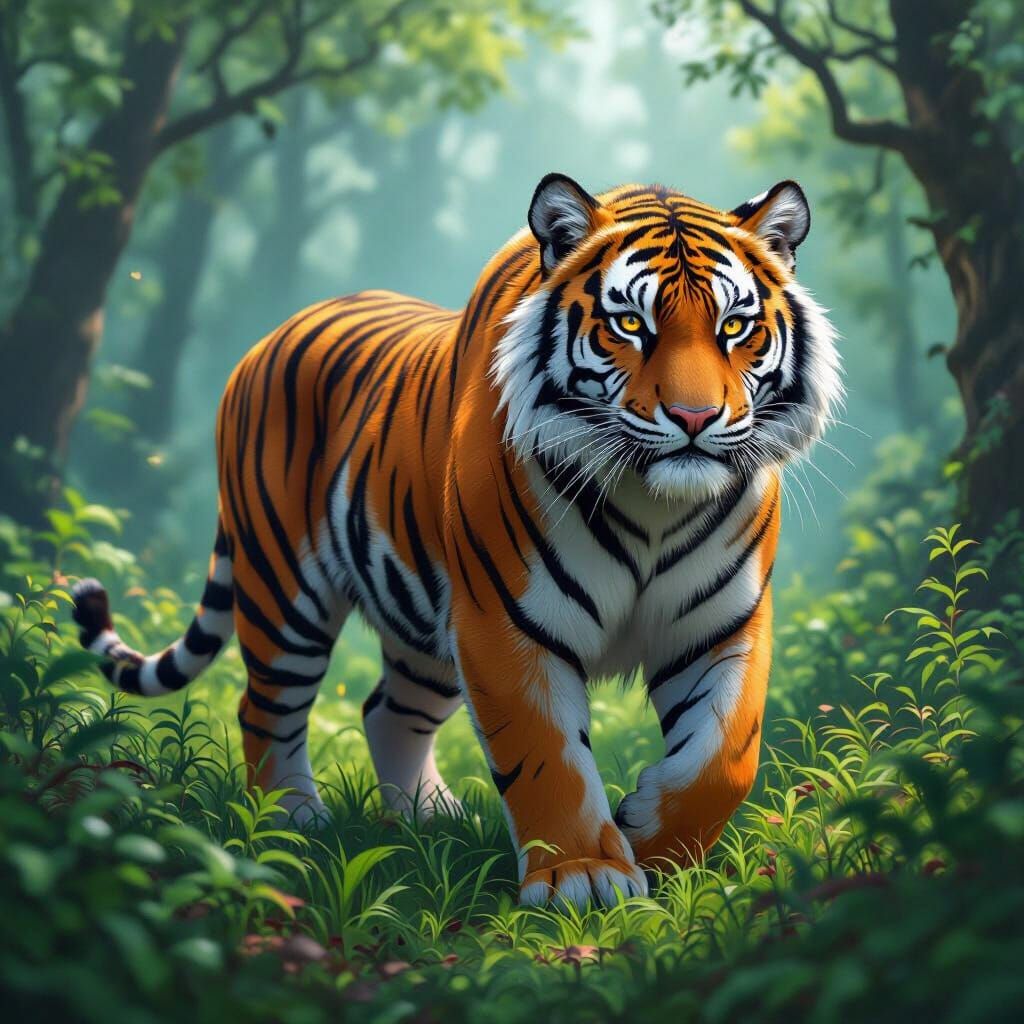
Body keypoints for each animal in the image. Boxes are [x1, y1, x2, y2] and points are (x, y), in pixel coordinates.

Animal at [72, 173, 840, 909]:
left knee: (388, 711)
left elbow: (725, 757)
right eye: (630, 323)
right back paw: (289, 825)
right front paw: (584, 875)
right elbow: (545, 754)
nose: (694, 417)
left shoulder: (723, 625)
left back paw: (429, 820)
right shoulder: (506, 623)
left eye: (735, 326)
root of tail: (270, 336)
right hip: (284, 588)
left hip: (424, 627)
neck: (652, 503)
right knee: (264, 707)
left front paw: (652, 843)